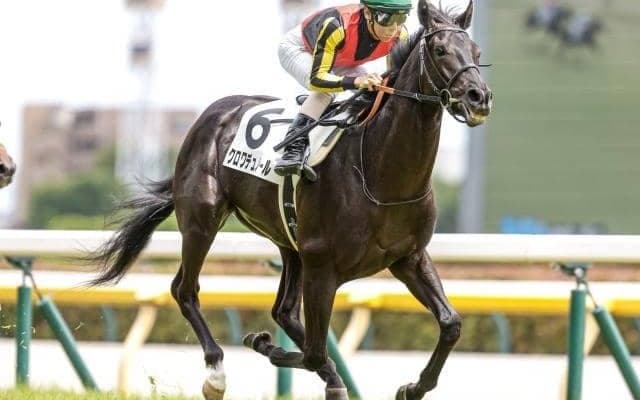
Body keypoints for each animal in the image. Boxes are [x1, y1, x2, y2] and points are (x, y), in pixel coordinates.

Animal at [88, 1, 492, 399]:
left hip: (289, 241)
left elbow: (451, 323)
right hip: (202, 221)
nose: (479, 98)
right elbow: (313, 352)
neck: (379, 173)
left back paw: (329, 378)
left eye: (476, 52)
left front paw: (413, 387)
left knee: (283, 312)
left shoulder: (408, 257)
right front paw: (263, 344)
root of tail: (214, 114)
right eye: (440, 50)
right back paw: (217, 374)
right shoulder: (323, 266)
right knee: (185, 290)